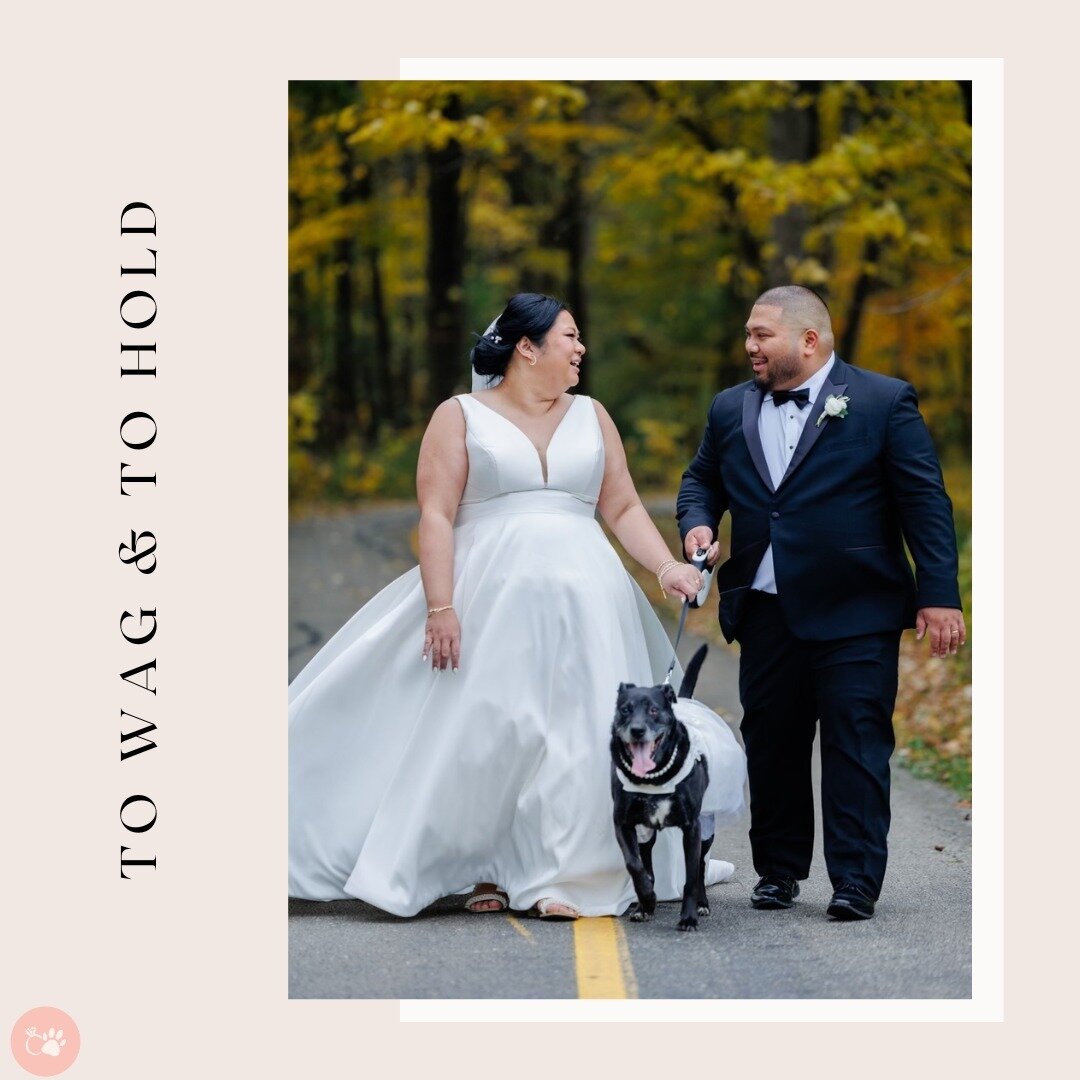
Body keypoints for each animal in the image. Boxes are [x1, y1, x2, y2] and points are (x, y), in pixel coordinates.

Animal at [609, 643, 717, 933]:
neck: (653, 778)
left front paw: (688, 917)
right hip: (647, 832)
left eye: (654, 710)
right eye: (625, 709)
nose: (637, 730)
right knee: (647, 862)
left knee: (700, 865)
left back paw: (702, 904)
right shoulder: (623, 822)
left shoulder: (692, 826)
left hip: (707, 827)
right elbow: (634, 865)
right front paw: (646, 900)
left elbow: (691, 876)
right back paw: (643, 906)